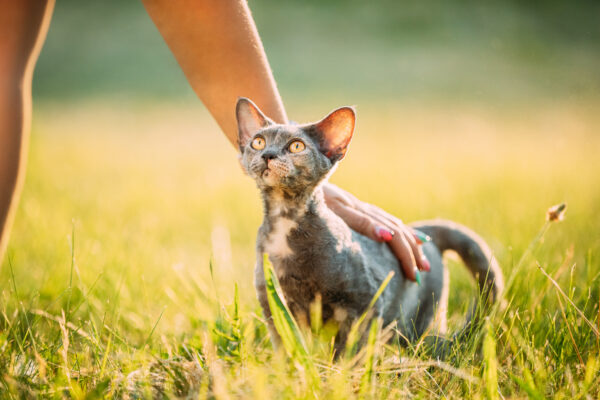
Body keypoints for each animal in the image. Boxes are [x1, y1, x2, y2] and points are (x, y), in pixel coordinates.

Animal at [237, 98, 504, 354]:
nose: (268, 154)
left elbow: (350, 352)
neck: (285, 218)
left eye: (296, 146)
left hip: (420, 326)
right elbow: (286, 349)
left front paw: (341, 371)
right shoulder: (272, 304)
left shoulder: (366, 301)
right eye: (258, 142)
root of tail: (422, 232)